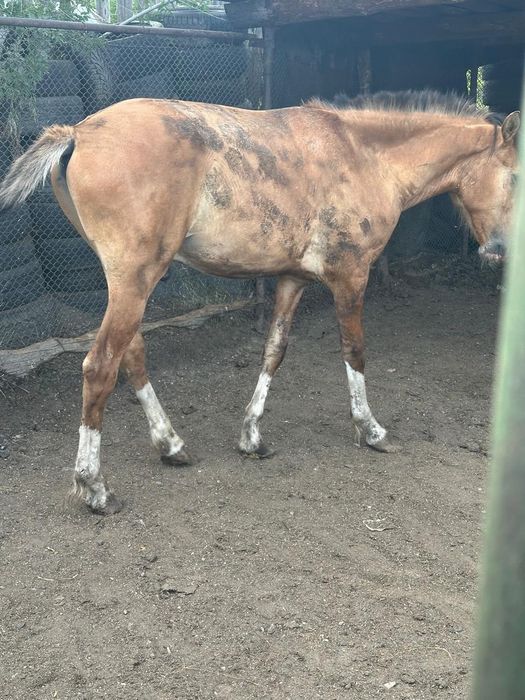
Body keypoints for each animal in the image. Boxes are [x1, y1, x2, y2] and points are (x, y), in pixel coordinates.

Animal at [0, 90, 519, 514]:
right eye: (514, 177)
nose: (500, 251)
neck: (364, 155)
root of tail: (80, 132)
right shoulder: (351, 276)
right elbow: (354, 351)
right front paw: (371, 431)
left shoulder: (292, 279)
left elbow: (274, 351)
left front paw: (252, 436)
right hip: (135, 279)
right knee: (101, 366)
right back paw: (95, 487)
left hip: (129, 283)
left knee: (132, 356)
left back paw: (171, 446)